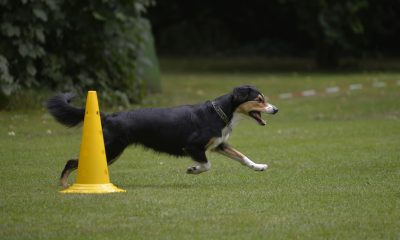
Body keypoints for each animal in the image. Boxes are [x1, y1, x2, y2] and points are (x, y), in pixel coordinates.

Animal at [47, 85, 278, 187]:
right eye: (259, 100)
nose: (275, 110)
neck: (219, 113)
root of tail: (108, 116)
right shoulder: (193, 146)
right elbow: (207, 165)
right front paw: (192, 169)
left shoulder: (218, 144)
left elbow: (242, 156)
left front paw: (259, 166)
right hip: (111, 148)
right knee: (71, 161)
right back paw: (65, 185)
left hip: (110, 150)